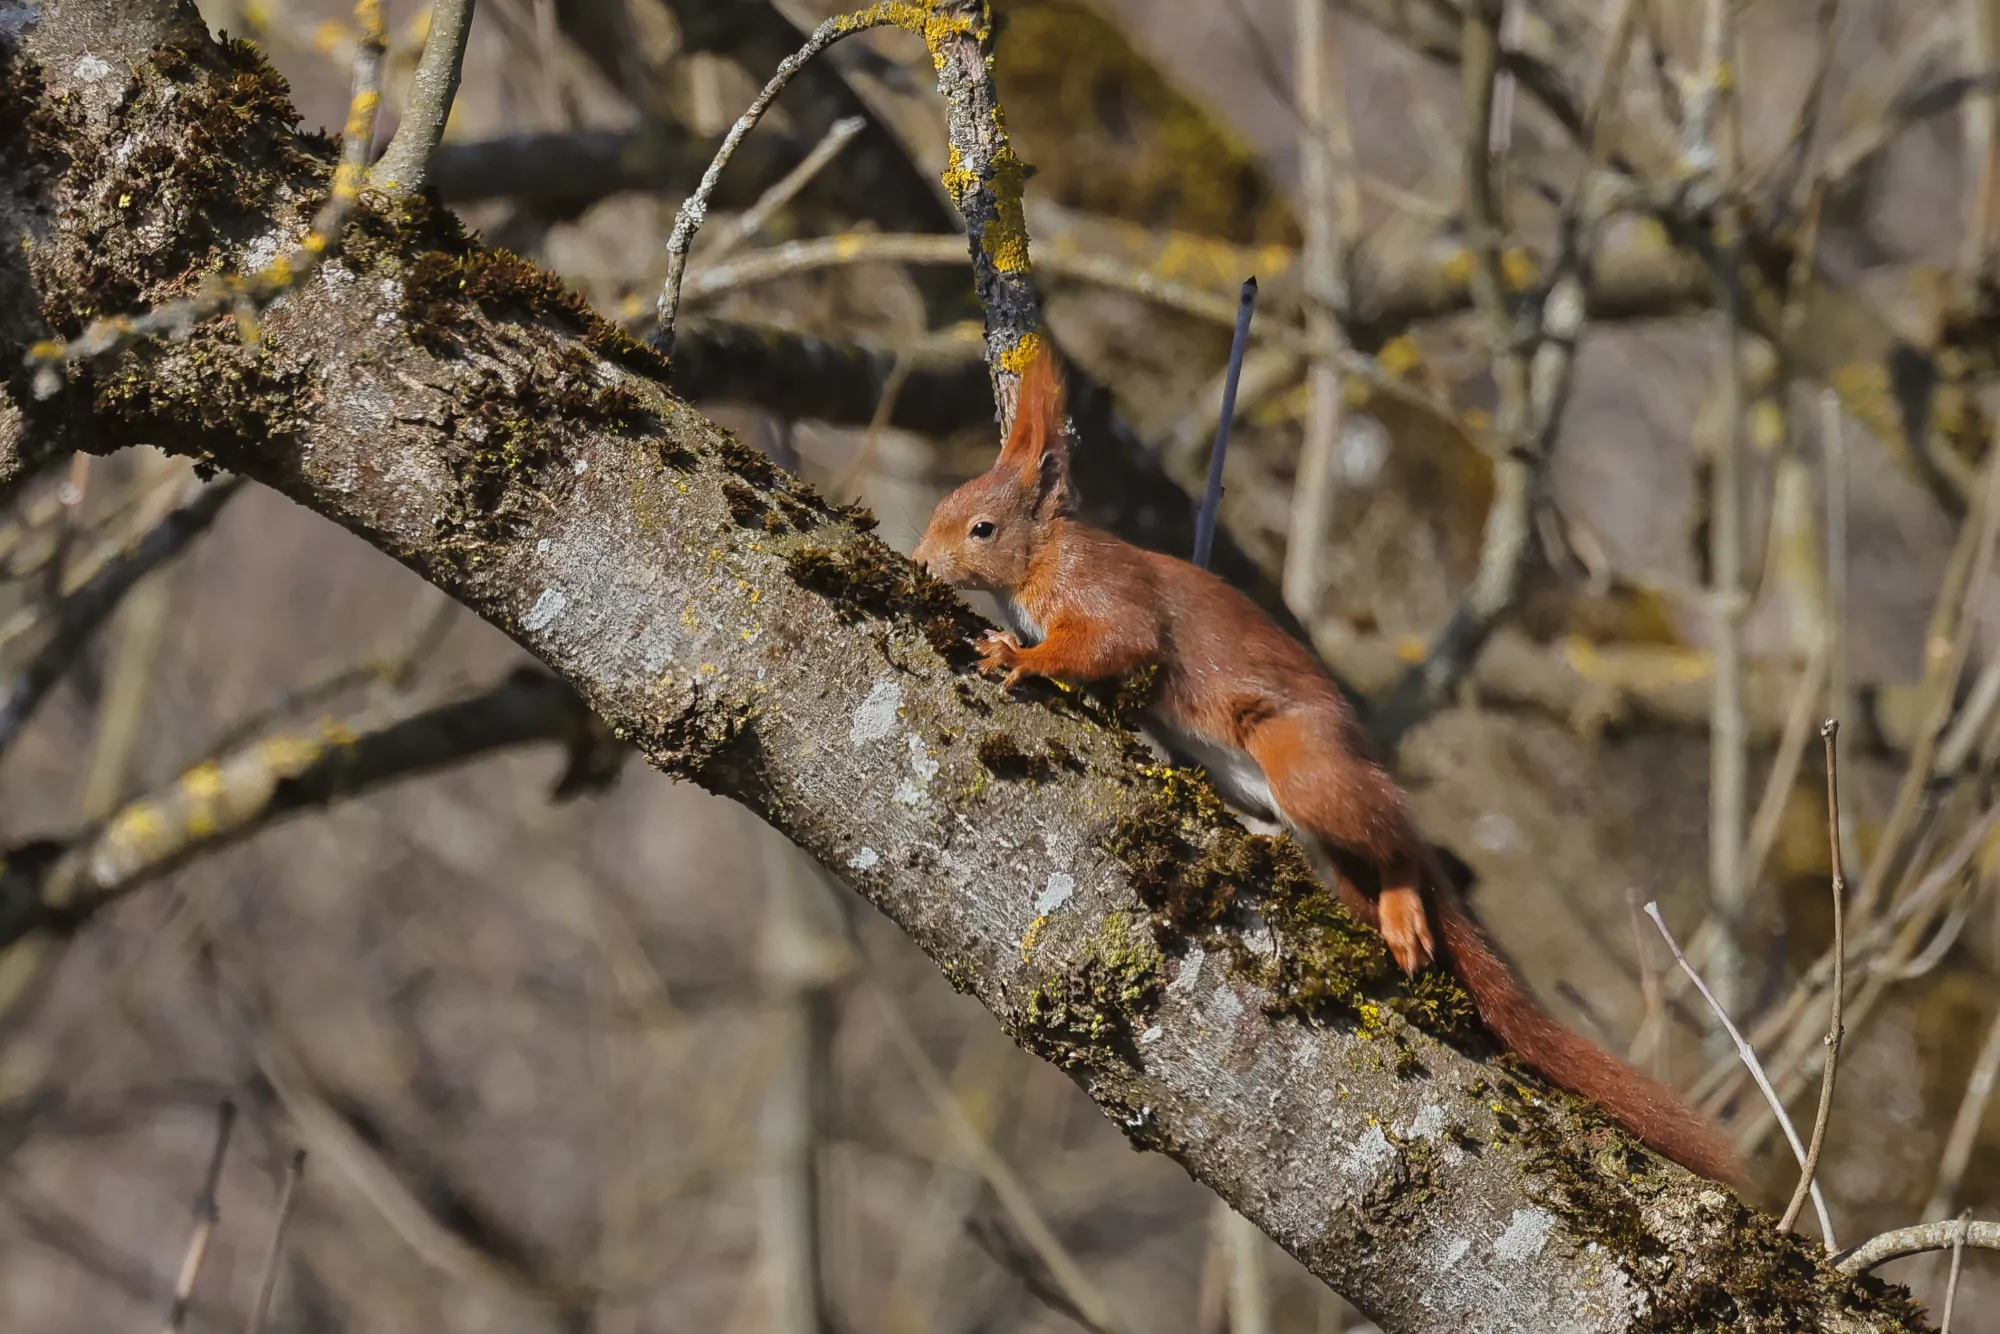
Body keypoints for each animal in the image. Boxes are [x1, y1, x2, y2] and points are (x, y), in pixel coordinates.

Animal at [911, 346, 1743, 1185]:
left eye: (982, 527)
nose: (922, 561)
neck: (1046, 556)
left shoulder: (1109, 595)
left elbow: (1112, 641)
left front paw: (1019, 657)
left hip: (1306, 767)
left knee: (1399, 834)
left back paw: (1405, 904)